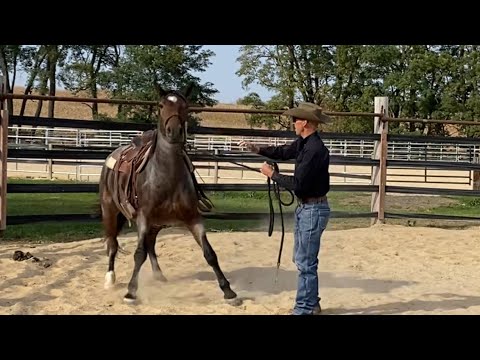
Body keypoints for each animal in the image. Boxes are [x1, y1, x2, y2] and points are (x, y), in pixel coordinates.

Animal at [99, 83, 238, 304]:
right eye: (161, 105)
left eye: (185, 106)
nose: (174, 131)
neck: (167, 175)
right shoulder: (144, 218)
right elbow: (138, 254)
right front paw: (130, 292)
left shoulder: (193, 218)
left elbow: (209, 253)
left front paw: (228, 291)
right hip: (110, 211)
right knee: (113, 244)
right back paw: (110, 279)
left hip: (156, 224)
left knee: (151, 245)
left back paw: (158, 275)